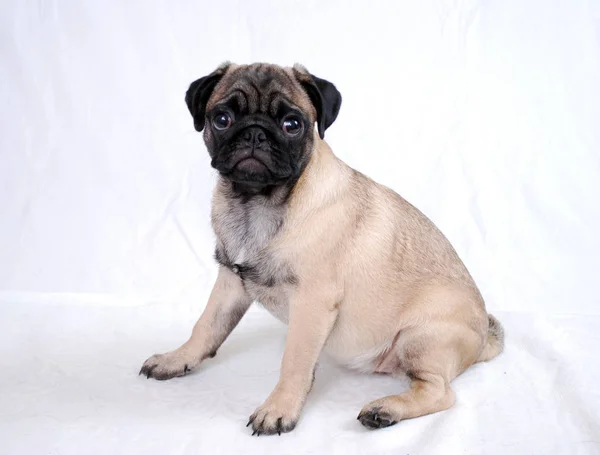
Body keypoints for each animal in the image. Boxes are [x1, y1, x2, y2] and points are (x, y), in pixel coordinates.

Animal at [139, 62, 502, 436]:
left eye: (292, 125)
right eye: (222, 119)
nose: (255, 134)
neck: (257, 203)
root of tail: (483, 341)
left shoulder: (311, 302)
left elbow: (294, 360)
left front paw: (278, 409)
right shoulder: (230, 282)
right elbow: (206, 326)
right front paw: (177, 359)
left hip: (421, 337)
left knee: (440, 392)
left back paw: (385, 409)